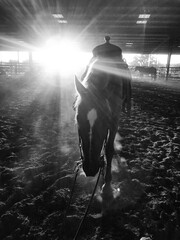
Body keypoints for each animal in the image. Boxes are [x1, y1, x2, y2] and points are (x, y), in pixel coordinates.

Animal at [74, 58, 131, 210]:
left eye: (105, 118)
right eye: (77, 117)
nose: (90, 168)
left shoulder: (114, 121)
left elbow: (109, 149)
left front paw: (107, 186)